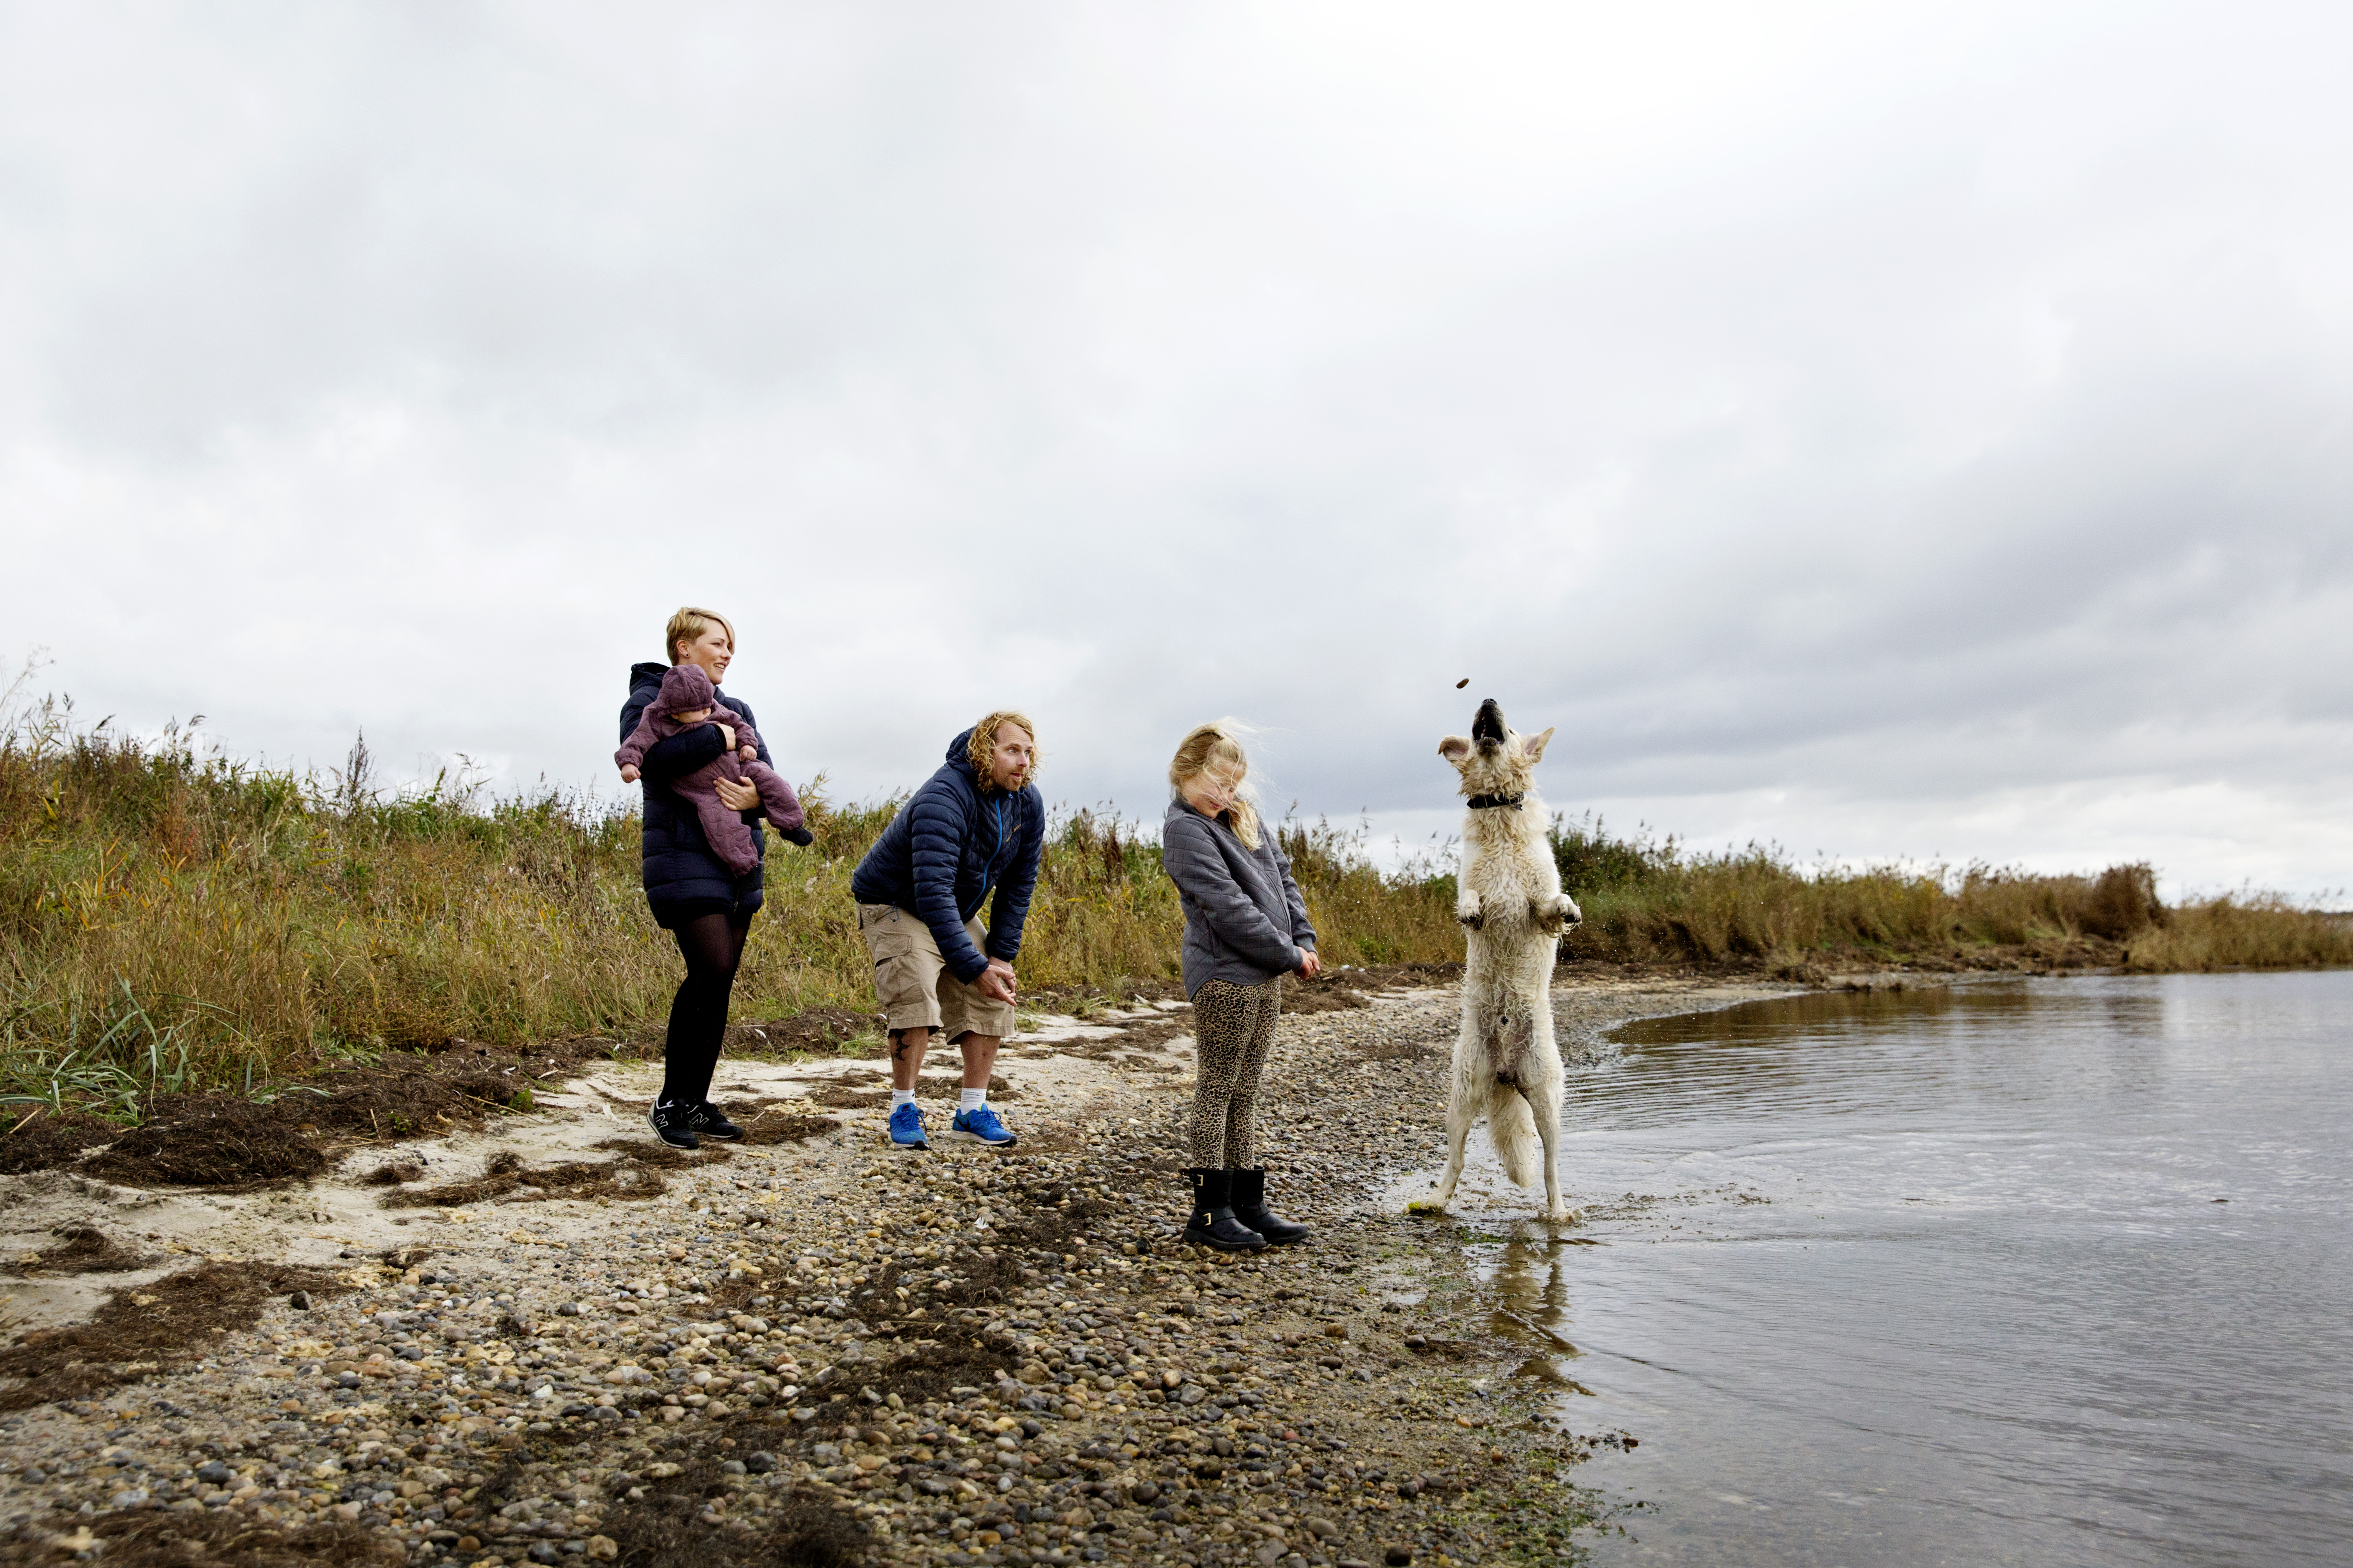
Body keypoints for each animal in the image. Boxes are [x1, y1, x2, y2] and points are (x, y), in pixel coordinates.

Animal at [1412, 700, 1581, 1222]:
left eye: (1508, 724)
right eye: (1476, 723)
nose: (1486, 700)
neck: (1500, 811)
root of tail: (1506, 1070)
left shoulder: (1538, 901)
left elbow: (1553, 903)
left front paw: (1570, 910)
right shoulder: (1471, 881)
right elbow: (1469, 899)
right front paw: (1470, 911)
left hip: (1546, 1098)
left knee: (1551, 1166)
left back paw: (1558, 1211)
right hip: (1462, 1095)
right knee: (1456, 1159)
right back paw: (1433, 1201)